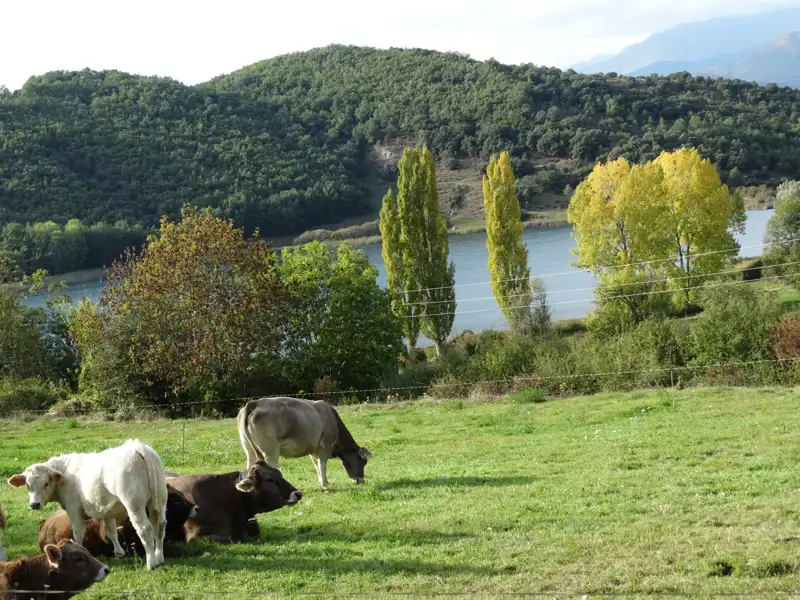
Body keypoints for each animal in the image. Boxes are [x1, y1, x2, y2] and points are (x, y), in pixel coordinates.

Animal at [7, 439, 168, 571]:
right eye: (28, 485)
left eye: (46, 483)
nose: (34, 504)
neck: (65, 472)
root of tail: (137, 446)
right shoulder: (107, 510)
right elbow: (111, 531)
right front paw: (118, 553)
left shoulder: (74, 509)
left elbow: (78, 534)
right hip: (159, 500)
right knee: (159, 526)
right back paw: (159, 557)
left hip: (134, 504)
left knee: (145, 529)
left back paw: (151, 563)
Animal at [237, 397, 373, 487]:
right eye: (363, 462)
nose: (361, 480)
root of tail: (256, 402)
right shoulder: (325, 446)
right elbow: (322, 465)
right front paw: (325, 483)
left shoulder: (314, 450)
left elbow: (317, 465)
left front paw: (320, 481)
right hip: (271, 451)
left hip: (248, 448)